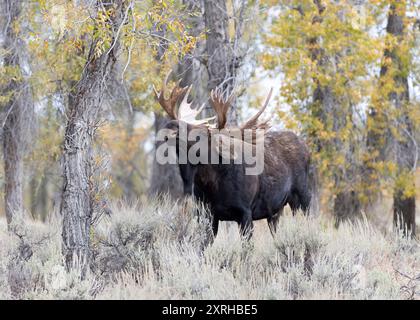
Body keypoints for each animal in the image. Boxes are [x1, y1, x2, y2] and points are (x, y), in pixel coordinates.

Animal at [154, 72, 312, 238]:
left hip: (303, 195)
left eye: (201, 134)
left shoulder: (245, 212)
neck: (211, 186)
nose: (171, 126)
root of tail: (306, 147)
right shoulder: (206, 213)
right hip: (276, 211)